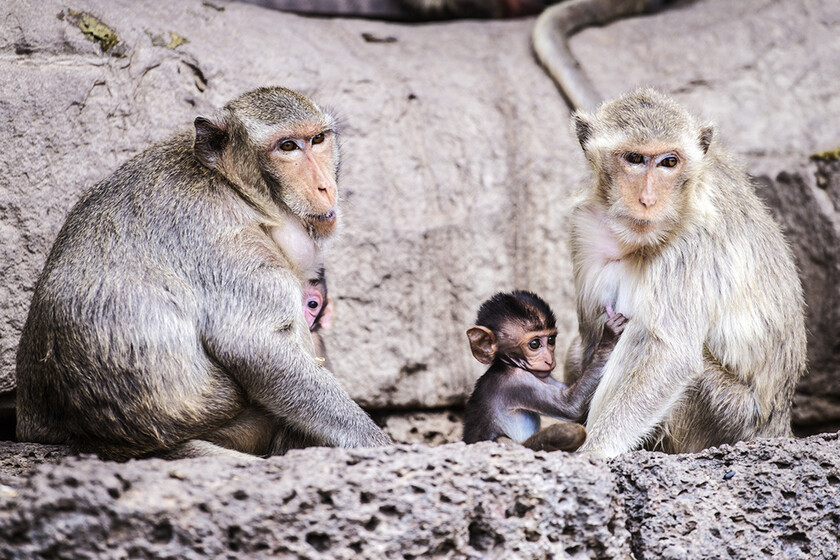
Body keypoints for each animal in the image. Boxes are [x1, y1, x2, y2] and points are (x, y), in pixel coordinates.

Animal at [15, 86, 391, 461]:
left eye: (317, 139)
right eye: (287, 147)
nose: (325, 186)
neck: (238, 191)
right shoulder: (230, 244)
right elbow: (256, 345)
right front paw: (376, 442)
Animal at [463, 291, 627, 452]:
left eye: (551, 340)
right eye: (534, 344)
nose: (549, 360)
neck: (506, 365)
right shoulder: (517, 382)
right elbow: (570, 406)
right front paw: (608, 338)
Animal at [566, 88, 807, 458]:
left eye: (669, 162)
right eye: (634, 159)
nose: (648, 199)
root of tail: (780, 426)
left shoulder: (694, 241)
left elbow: (671, 356)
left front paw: (594, 451)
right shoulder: (586, 226)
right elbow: (590, 341)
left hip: (730, 416)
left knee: (644, 335)